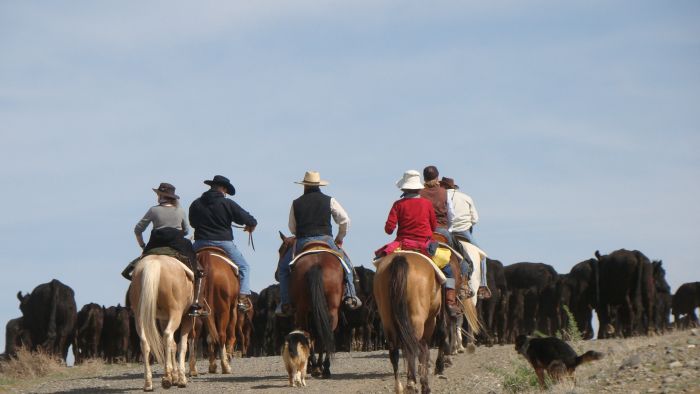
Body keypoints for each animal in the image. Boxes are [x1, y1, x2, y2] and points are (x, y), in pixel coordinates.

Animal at [127, 255, 194, 390]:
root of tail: (155, 262)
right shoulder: (187, 318)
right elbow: (182, 346)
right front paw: (181, 379)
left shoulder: (163, 319)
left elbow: (173, 346)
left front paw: (175, 377)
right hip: (176, 313)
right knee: (168, 335)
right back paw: (167, 378)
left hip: (139, 317)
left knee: (145, 342)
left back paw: (148, 383)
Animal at [189, 246, 241, 376]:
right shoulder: (232, 309)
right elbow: (229, 334)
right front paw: (227, 357)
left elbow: (209, 338)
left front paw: (212, 365)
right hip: (224, 311)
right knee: (221, 335)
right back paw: (225, 366)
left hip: (195, 311)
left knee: (193, 335)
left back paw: (192, 368)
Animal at [278, 232, 344, 378]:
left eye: (281, 250)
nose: (276, 274)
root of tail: (316, 264)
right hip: (329, 309)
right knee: (325, 332)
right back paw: (323, 367)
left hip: (304, 311)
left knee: (310, 333)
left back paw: (317, 366)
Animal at [378, 252, 454, 394]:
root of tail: (400, 258)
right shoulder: (432, 320)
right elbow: (428, 346)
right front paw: (430, 377)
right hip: (418, 319)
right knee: (412, 347)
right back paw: (411, 384)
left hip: (387, 319)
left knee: (394, 351)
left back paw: (399, 387)